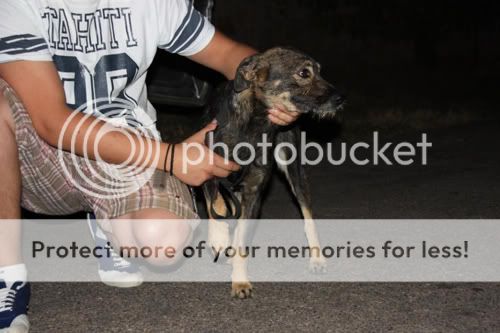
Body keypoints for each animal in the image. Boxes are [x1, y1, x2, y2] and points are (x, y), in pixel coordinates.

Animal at [201, 46, 346, 296]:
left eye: (319, 71)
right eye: (304, 73)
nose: (341, 98)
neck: (253, 124)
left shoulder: (254, 192)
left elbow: (242, 241)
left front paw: (240, 280)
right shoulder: (206, 173)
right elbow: (217, 206)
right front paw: (219, 239)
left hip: (295, 172)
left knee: (308, 216)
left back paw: (317, 259)